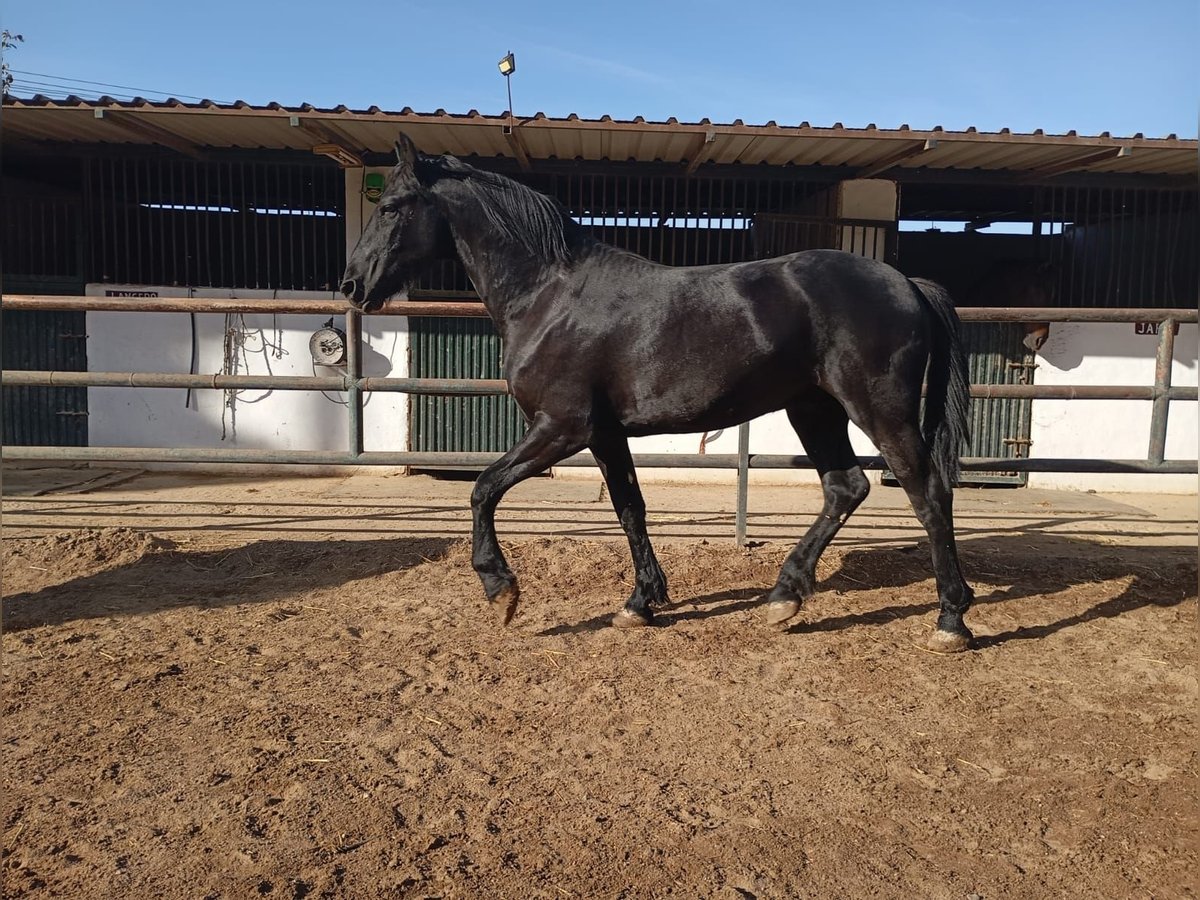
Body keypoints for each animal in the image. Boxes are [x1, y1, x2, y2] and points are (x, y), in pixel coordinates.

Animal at [341, 133, 977, 653]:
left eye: (391, 206)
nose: (351, 285)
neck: (549, 296)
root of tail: (906, 283)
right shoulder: (604, 434)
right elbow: (630, 508)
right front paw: (640, 604)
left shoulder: (561, 427)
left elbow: (483, 489)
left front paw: (501, 591)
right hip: (813, 408)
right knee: (846, 487)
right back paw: (784, 597)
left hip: (878, 409)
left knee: (927, 491)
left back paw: (951, 621)